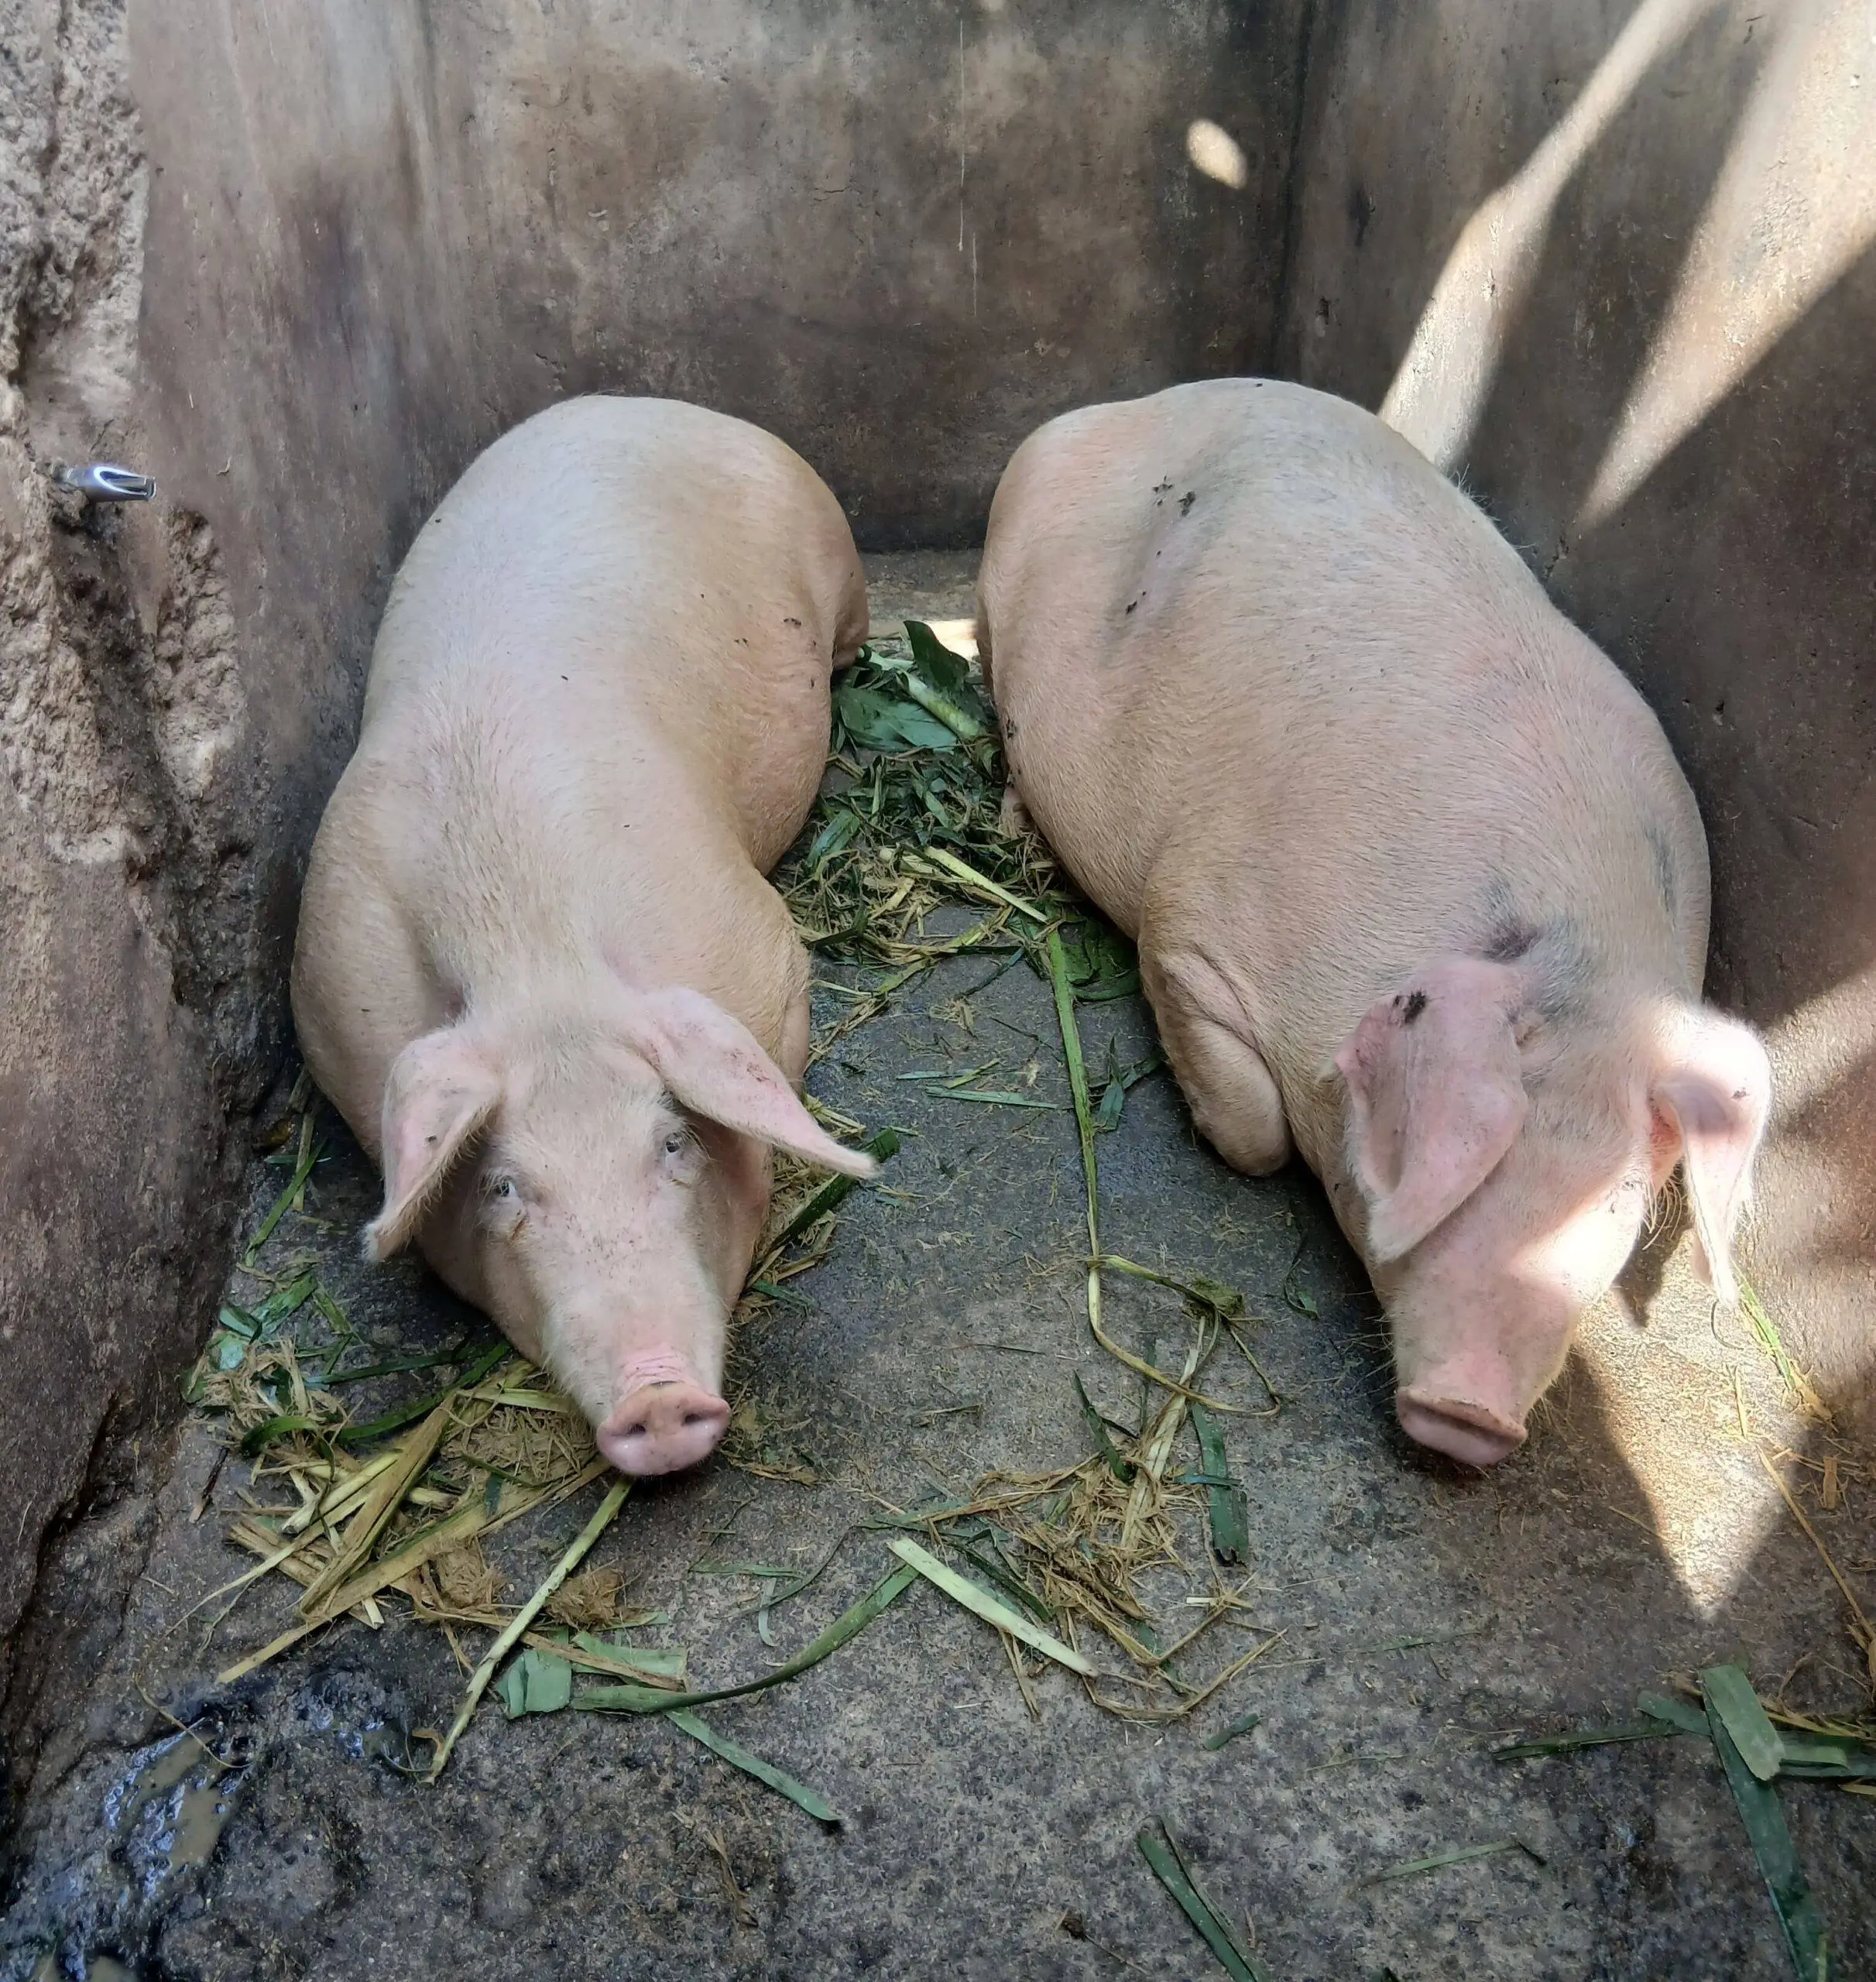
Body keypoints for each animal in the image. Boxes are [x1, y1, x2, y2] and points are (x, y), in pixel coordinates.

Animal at [292, 396, 874, 1477]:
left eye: (673, 1142)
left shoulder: (761, 951)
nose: (658, 1398)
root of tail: (636, 401)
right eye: (505, 1186)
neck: (527, 951)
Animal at [977, 378, 1771, 1467]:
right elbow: (1255, 1131)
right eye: (1468, 1154)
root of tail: (1119, 405)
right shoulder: (1186, 927)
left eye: (1611, 1197)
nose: (1472, 1415)